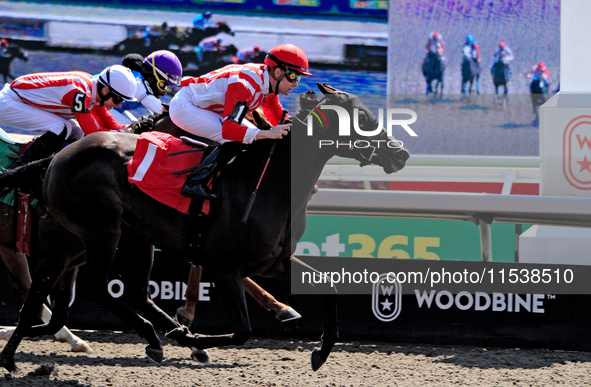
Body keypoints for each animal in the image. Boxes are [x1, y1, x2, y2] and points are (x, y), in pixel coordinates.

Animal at [0, 83, 408, 372]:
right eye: (364, 120)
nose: (401, 153)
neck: (268, 182)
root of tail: (56, 159)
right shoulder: (225, 267)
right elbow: (243, 330)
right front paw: (192, 335)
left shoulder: (273, 262)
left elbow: (329, 284)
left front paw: (320, 353)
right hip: (101, 232)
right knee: (92, 287)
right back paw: (159, 335)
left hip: (120, 238)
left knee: (73, 292)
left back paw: (13, 353)